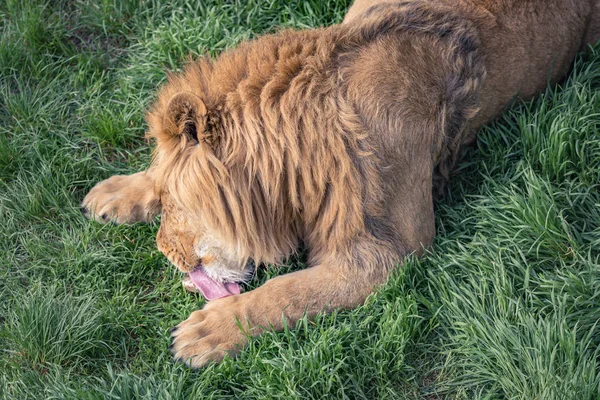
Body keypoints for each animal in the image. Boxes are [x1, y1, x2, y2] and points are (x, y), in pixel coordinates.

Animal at [81, 0, 600, 368]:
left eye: (177, 204)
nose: (165, 253)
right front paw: (117, 192)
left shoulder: (390, 250)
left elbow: (287, 292)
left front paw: (208, 332)